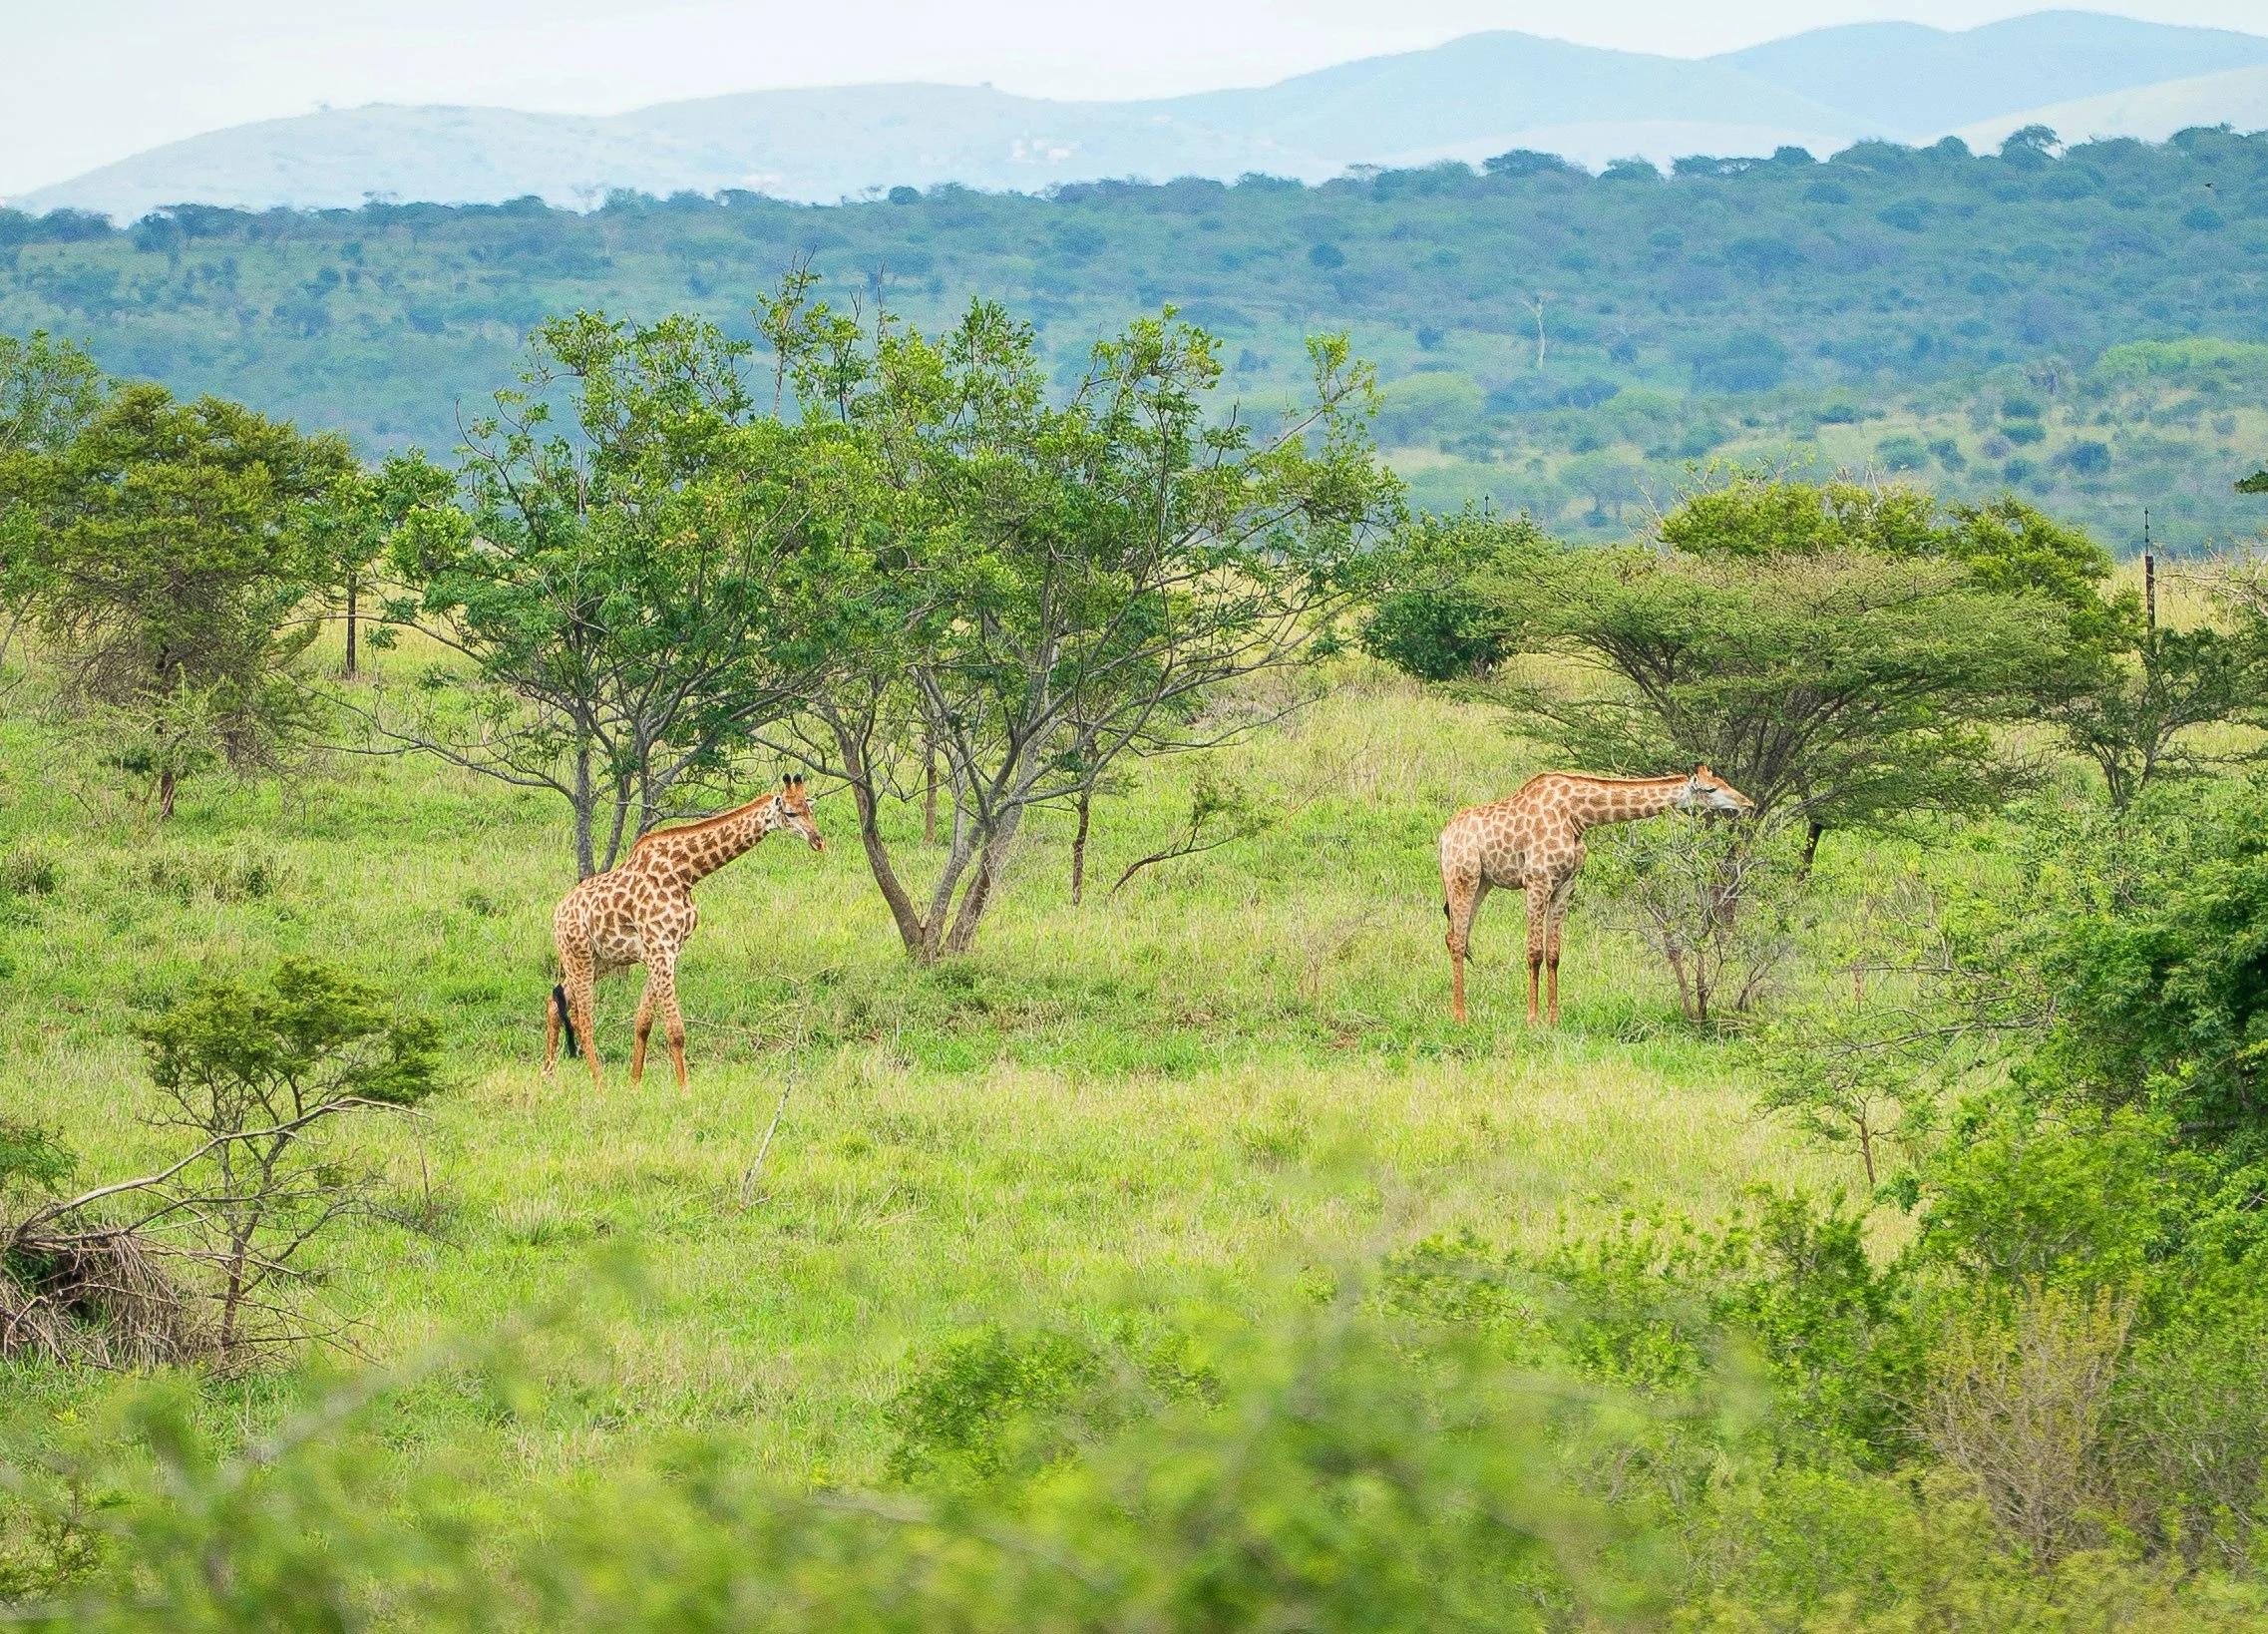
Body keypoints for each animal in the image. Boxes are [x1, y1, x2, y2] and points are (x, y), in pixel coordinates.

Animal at [544, 775, 824, 1091]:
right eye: (790, 813)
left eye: (810, 809)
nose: (818, 841)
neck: (685, 874)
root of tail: (558, 913)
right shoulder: (660, 949)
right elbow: (675, 1029)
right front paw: (685, 1090)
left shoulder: (667, 951)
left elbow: (643, 1023)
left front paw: (635, 1084)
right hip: (578, 955)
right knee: (584, 1020)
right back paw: (600, 1086)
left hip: (601, 961)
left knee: (555, 1002)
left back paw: (547, 1075)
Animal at [1438, 766, 1754, 1026]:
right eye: (1711, 790)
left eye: (1723, 781)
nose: (1747, 803)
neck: (1578, 816)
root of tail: (1443, 838)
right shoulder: (1538, 880)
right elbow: (1534, 952)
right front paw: (1532, 1020)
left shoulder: (1565, 884)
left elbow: (1553, 954)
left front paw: (1553, 1020)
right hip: (1463, 876)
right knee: (1458, 940)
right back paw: (1460, 1017)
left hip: (1483, 882)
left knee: (1456, 936)